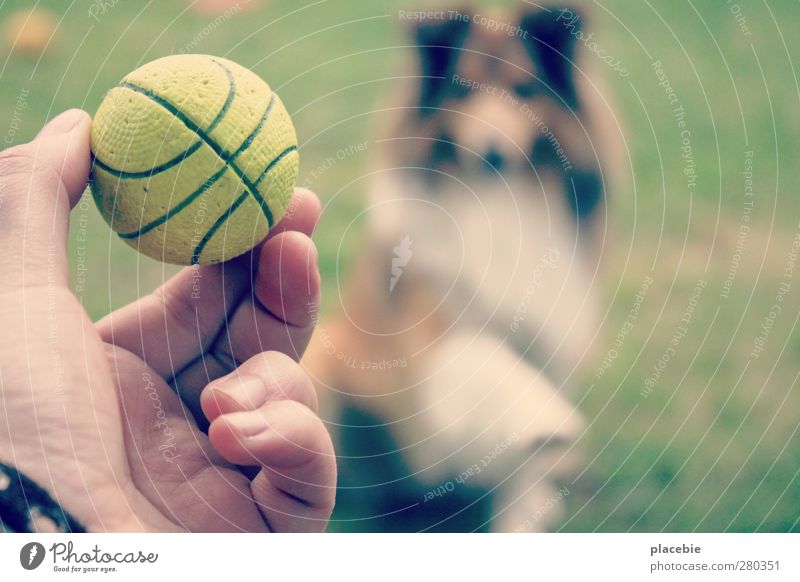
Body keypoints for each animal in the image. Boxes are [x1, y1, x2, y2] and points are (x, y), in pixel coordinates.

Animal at [304, 4, 620, 532]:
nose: (492, 153)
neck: (498, 201)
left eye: (524, 90)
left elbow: (523, 462)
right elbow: (483, 355)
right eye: (463, 91)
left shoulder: (550, 337)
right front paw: (545, 417)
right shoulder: (429, 324)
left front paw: (522, 513)